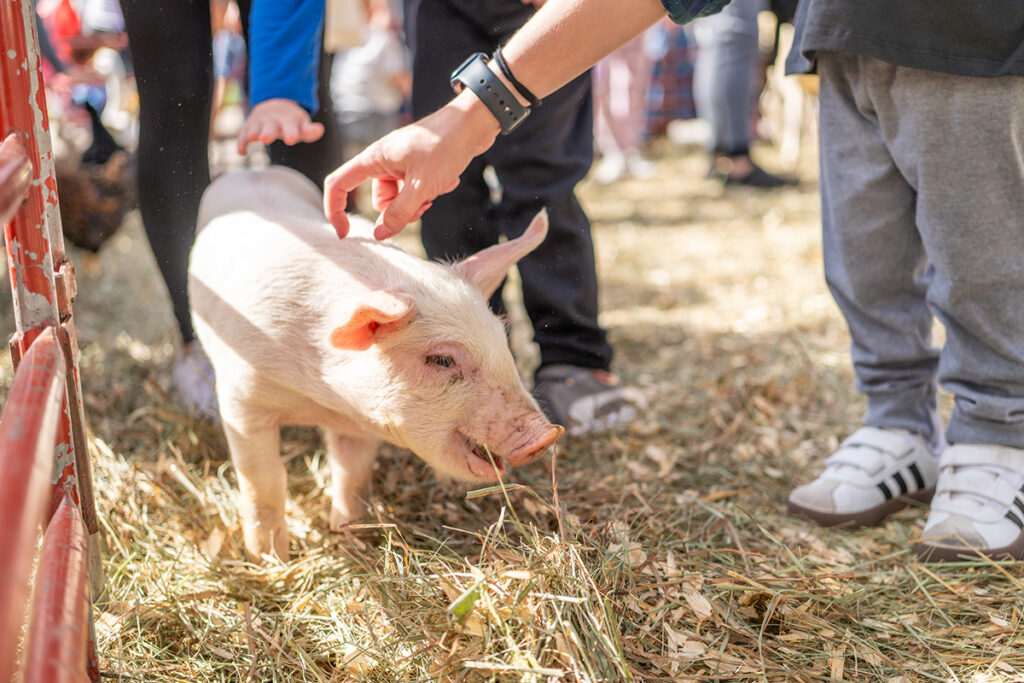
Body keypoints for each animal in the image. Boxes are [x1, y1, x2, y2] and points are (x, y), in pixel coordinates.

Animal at [189, 166, 563, 560]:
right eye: (442, 359)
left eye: (502, 341)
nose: (547, 434)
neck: (318, 399)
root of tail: (254, 168)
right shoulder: (241, 400)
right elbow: (263, 483)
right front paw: (269, 558)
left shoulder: (358, 423)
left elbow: (352, 474)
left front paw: (351, 536)